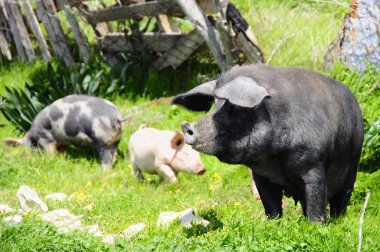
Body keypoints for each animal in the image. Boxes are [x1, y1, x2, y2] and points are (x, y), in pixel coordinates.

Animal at [171, 64, 364, 222]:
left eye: (233, 107)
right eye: (213, 104)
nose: (187, 126)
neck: (275, 156)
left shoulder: (315, 165)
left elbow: (316, 200)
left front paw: (316, 225)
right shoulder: (261, 175)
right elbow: (270, 204)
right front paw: (272, 222)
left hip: (352, 166)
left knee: (341, 201)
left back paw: (338, 219)